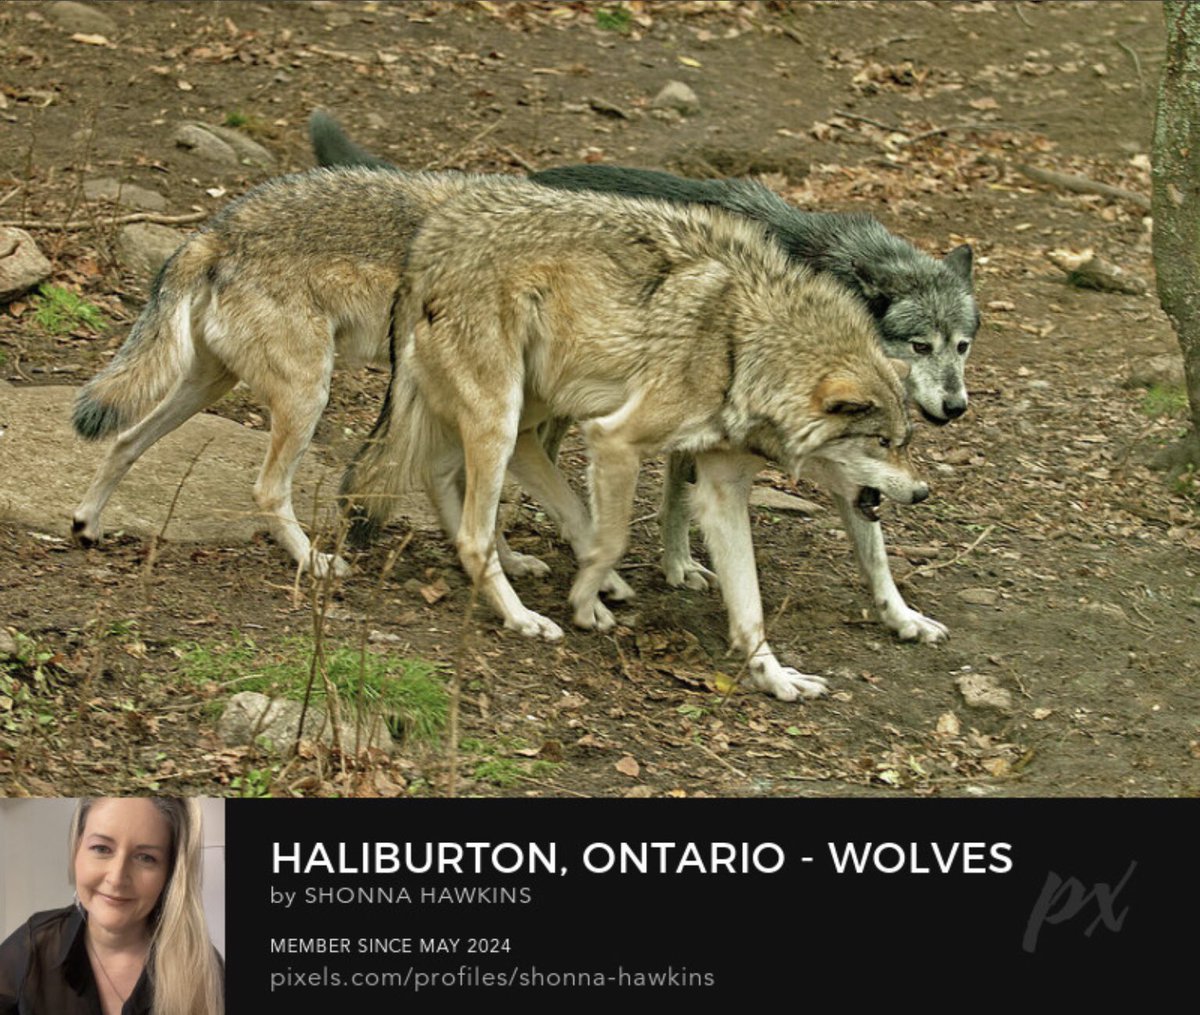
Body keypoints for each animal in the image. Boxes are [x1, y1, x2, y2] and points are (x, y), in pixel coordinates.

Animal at [310, 111, 967, 642]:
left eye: (962, 346)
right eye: (921, 345)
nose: (922, 492)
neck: (745, 342)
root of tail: (432, 237)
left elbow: (873, 554)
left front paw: (903, 618)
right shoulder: (620, 436)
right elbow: (641, 524)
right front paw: (633, 582)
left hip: (522, 407)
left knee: (456, 475)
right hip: (507, 414)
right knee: (476, 519)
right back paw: (525, 614)